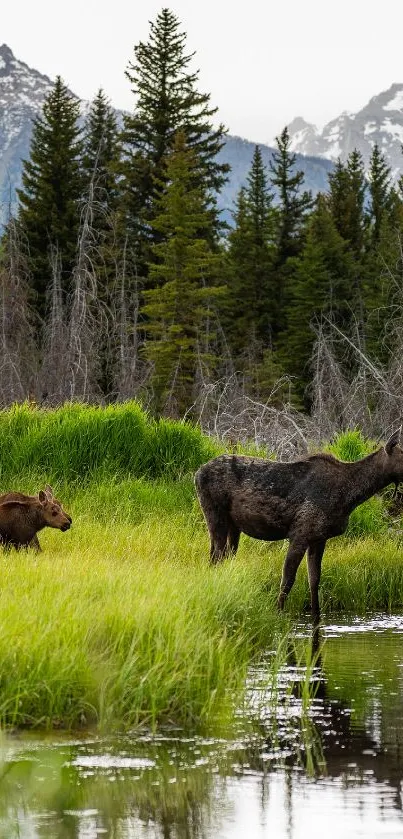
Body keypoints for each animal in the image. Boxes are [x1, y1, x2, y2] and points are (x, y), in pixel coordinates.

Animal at [195, 430, 403, 620]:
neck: (349, 498)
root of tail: (197, 473)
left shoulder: (319, 538)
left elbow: (314, 580)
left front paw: (316, 618)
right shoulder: (300, 534)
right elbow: (287, 580)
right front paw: (278, 614)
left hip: (233, 526)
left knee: (221, 558)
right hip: (215, 516)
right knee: (216, 558)